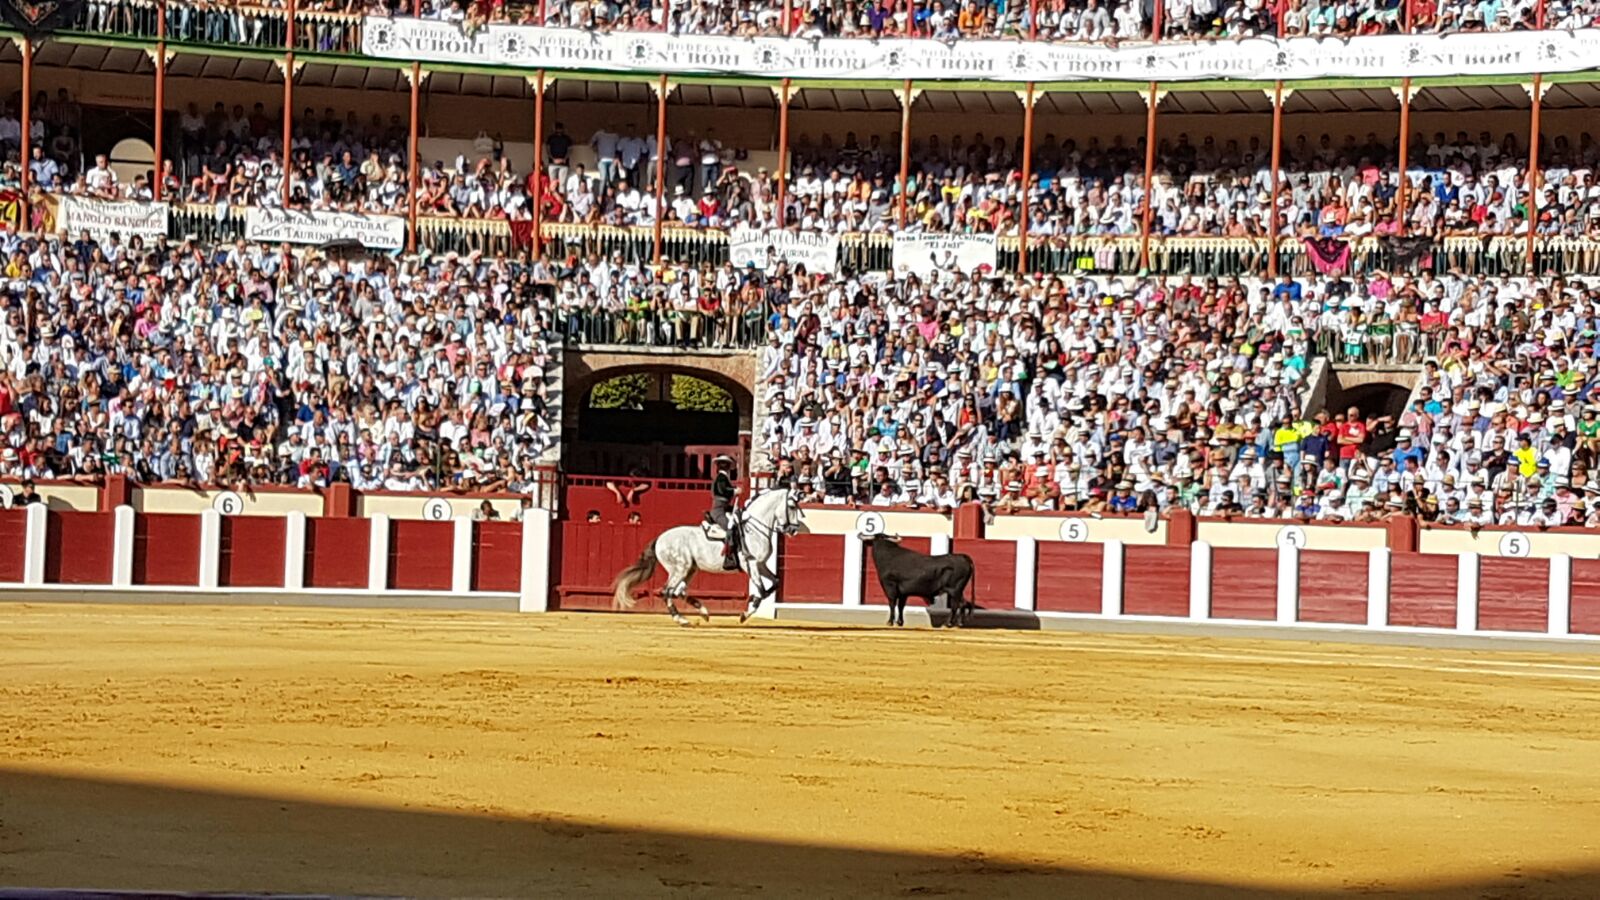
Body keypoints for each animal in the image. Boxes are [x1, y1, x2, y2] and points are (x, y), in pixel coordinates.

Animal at [608, 486, 806, 621]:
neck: (754, 528)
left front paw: (751, 600)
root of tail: (660, 538)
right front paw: (745, 613)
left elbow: (774, 583)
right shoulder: (751, 564)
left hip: (690, 569)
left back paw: (703, 612)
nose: (794, 530)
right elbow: (763, 589)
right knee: (667, 591)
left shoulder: (761, 564)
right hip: (680, 568)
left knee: (678, 591)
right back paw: (681, 619)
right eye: (792, 506)